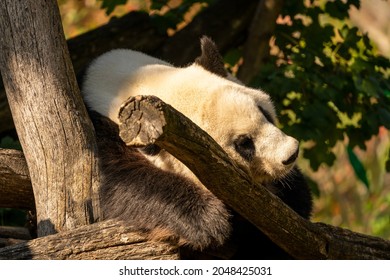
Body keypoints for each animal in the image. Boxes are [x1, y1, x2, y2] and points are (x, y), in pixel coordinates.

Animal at [80, 36, 312, 260]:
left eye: (264, 112)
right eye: (244, 144)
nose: (291, 154)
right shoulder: (102, 135)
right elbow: (122, 184)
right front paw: (210, 221)